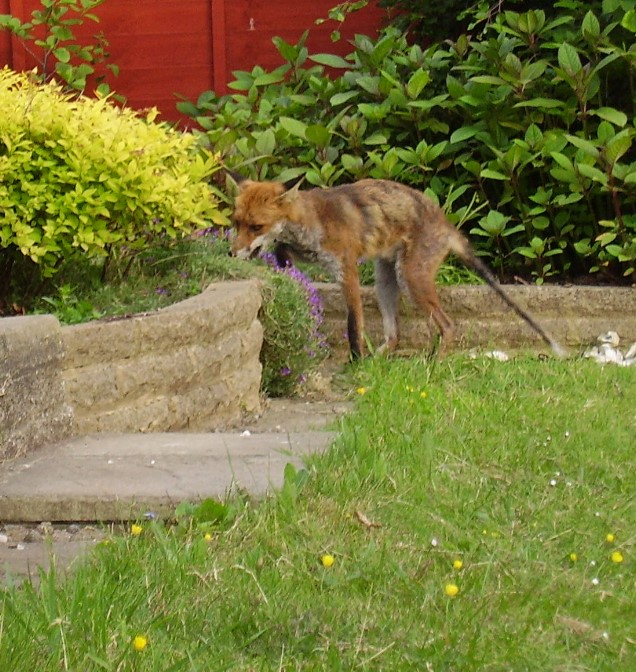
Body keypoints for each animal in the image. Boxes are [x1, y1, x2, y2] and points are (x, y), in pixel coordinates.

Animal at [230, 176, 568, 360]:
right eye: (236, 222)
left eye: (256, 226)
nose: (232, 252)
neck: (312, 222)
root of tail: (447, 225)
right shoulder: (309, 254)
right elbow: (282, 252)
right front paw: (286, 272)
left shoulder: (347, 270)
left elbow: (353, 325)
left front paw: (354, 362)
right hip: (385, 282)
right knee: (395, 336)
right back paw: (382, 359)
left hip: (411, 280)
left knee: (448, 325)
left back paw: (431, 364)